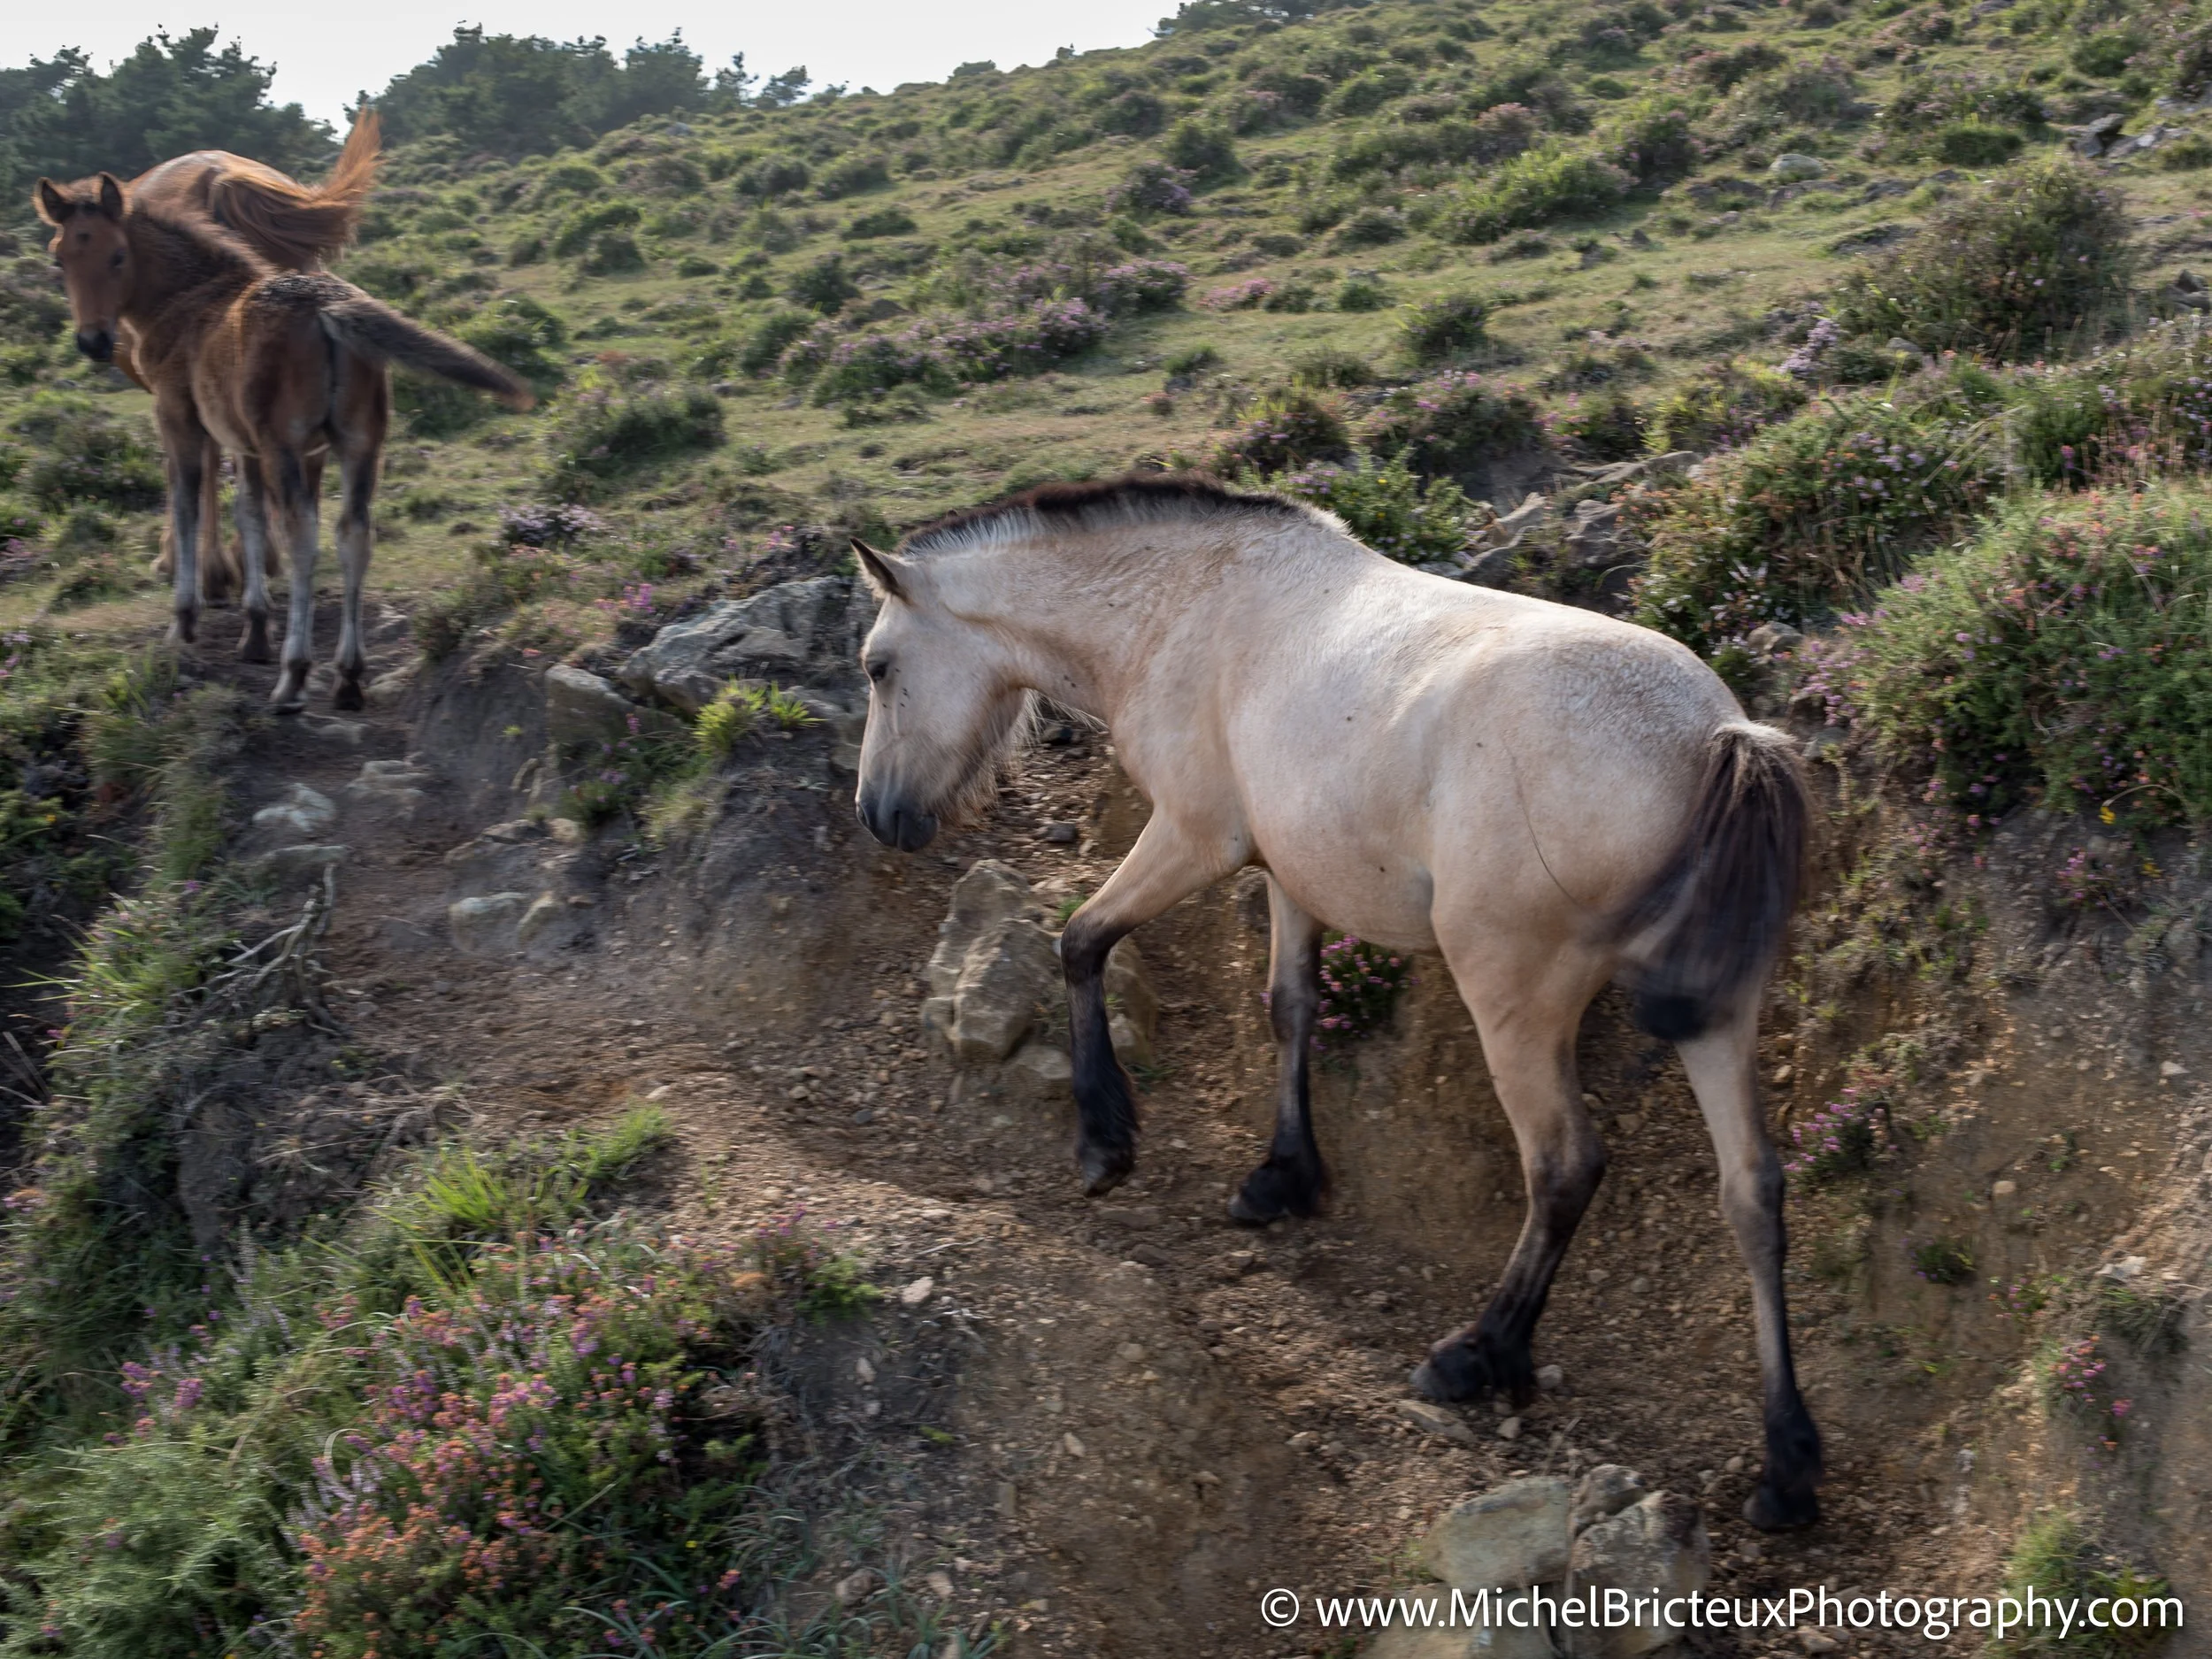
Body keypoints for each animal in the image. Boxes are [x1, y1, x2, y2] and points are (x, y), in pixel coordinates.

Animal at [36, 169, 529, 711]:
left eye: (118, 255)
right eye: (60, 258)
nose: (94, 341)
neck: (190, 298)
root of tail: (328, 309)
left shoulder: (180, 420)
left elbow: (187, 508)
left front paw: (184, 621)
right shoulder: (247, 443)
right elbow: (249, 513)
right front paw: (254, 629)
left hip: (285, 447)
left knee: (303, 537)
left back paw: (294, 675)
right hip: (361, 445)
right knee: (354, 534)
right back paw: (348, 676)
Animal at [848, 473, 1823, 1531]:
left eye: (877, 667)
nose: (876, 814)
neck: (1186, 606)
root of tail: (1715, 737)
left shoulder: (1194, 839)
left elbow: (1081, 942)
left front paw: (1105, 1142)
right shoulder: (1288, 874)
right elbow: (1288, 1008)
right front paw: (1282, 1175)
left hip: (1513, 996)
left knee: (1564, 1166)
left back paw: (1477, 1354)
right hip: (1719, 1020)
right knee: (1752, 1192)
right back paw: (1785, 1462)